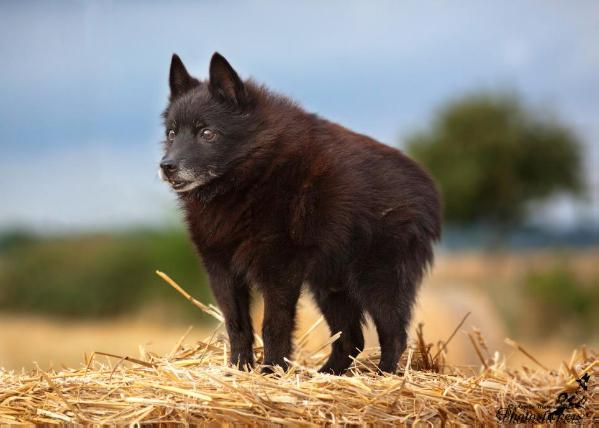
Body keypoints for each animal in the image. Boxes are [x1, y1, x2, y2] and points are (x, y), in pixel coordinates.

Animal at [159, 51, 440, 374]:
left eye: (207, 133)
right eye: (171, 133)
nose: (167, 166)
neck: (250, 177)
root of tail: (427, 187)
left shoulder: (279, 270)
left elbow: (273, 325)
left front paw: (271, 371)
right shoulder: (222, 270)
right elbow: (237, 326)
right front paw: (239, 369)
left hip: (378, 279)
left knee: (394, 334)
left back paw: (384, 376)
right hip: (331, 286)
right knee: (351, 340)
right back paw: (329, 375)